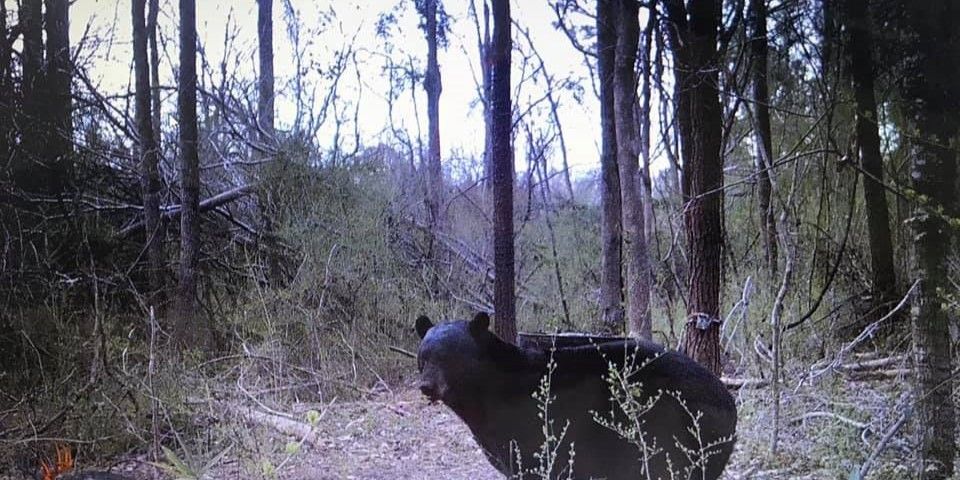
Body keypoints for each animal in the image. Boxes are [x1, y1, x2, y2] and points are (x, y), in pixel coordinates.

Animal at [415, 312, 737, 480]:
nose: (426, 386)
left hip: (683, 436)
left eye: (450, 357)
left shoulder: (531, 433)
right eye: (424, 356)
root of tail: (729, 400)